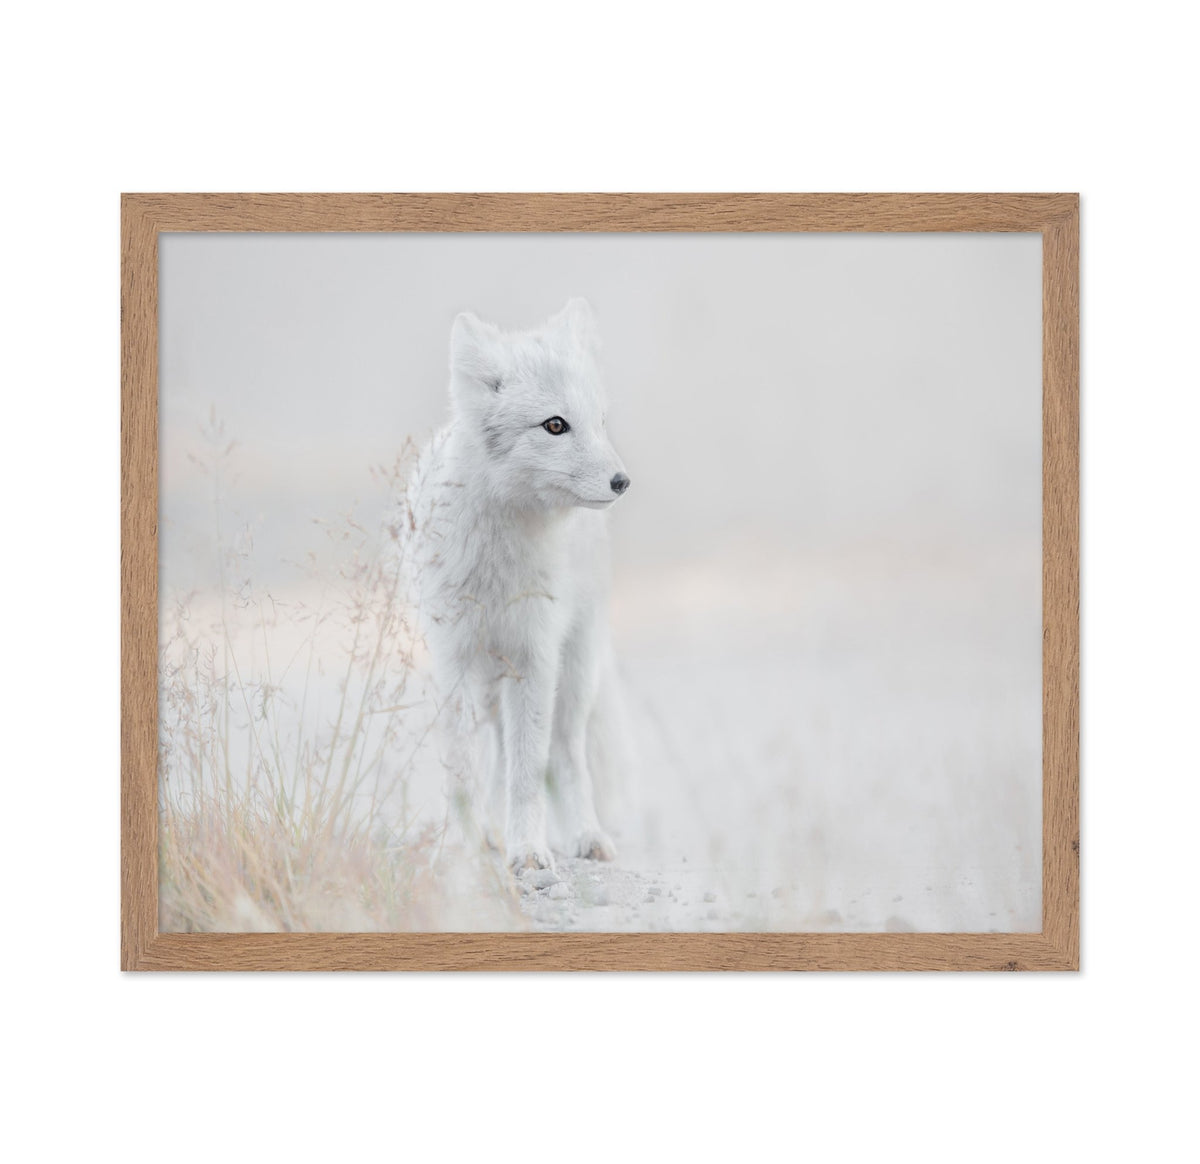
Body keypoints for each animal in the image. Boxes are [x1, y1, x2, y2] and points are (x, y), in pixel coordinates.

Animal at [406, 298, 631, 874]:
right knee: (499, 755)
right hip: (493, 684)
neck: (497, 566)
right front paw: (461, 846)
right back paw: (491, 833)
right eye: (555, 425)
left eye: (600, 421)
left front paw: (527, 851)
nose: (622, 482)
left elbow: (529, 773)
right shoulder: (456, 660)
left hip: (570, 677)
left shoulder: (534, 656)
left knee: (564, 755)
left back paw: (585, 836)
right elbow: (462, 770)